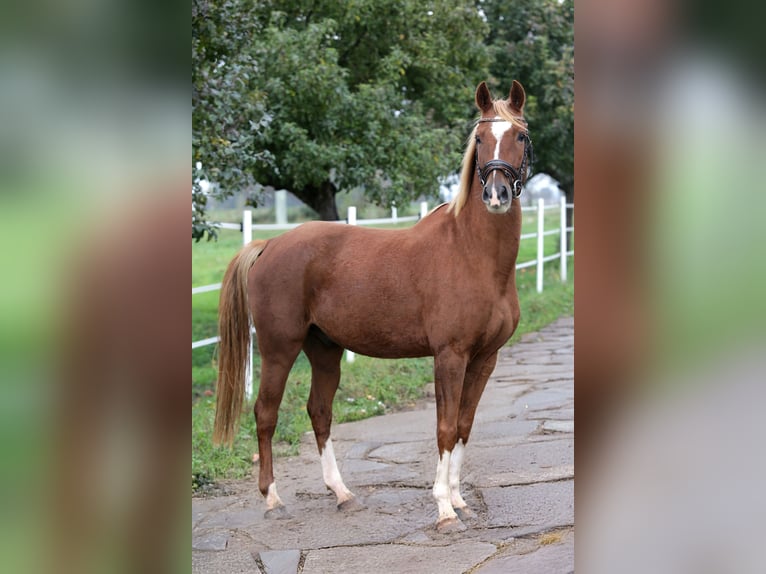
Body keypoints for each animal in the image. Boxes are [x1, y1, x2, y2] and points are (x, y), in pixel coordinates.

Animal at [212, 81, 536, 536]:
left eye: (520, 136)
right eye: (480, 138)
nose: (495, 194)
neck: (473, 254)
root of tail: (270, 245)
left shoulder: (484, 359)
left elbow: (464, 427)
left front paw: (459, 500)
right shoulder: (449, 357)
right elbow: (444, 427)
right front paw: (444, 511)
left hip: (324, 350)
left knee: (319, 412)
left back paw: (342, 494)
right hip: (279, 349)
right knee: (266, 413)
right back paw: (273, 500)